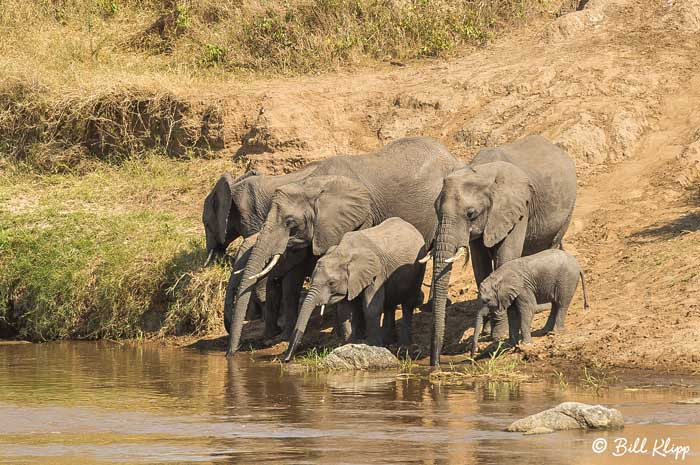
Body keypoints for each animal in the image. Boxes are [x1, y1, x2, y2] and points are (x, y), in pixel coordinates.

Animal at [284, 216, 426, 360]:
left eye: (332, 283)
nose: (286, 358)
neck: (343, 252)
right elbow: (345, 311)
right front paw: (350, 346)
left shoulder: (376, 273)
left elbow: (371, 307)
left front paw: (373, 346)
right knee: (389, 305)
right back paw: (389, 341)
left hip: (418, 269)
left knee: (408, 304)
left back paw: (403, 343)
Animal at [430, 134, 576, 366]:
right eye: (435, 210)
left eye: (471, 213)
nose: (435, 364)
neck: (481, 173)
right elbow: (480, 264)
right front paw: (490, 330)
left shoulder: (516, 207)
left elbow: (505, 256)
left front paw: (498, 334)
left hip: (567, 211)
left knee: (549, 245)